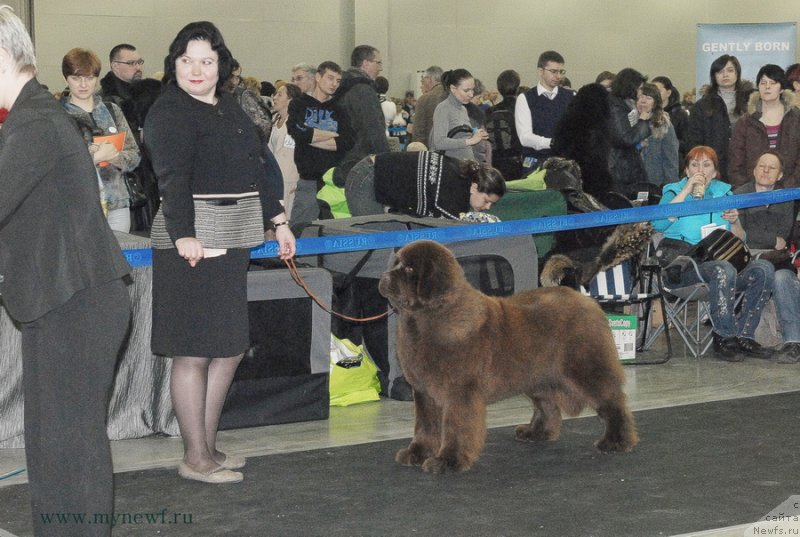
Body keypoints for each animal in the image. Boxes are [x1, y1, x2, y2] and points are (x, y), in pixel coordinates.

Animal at [380, 241, 636, 472]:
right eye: (396, 264)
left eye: (409, 269)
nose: (383, 277)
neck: (428, 318)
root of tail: (578, 295)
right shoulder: (423, 391)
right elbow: (425, 426)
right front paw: (417, 454)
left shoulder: (459, 392)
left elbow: (455, 426)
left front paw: (448, 461)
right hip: (537, 375)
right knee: (547, 406)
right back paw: (536, 433)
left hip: (586, 369)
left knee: (612, 403)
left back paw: (616, 442)